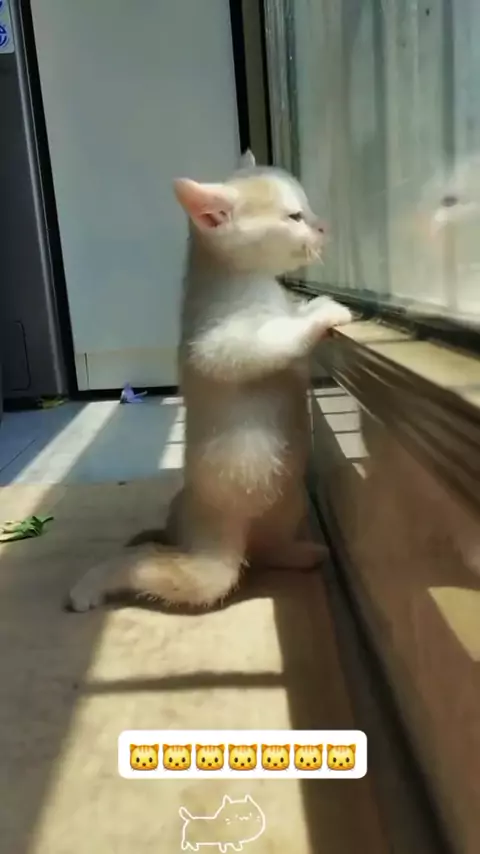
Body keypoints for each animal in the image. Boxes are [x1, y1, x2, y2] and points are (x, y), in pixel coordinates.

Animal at [67, 149, 352, 612]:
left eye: (308, 210)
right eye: (295, 216)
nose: (323, 226)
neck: (246, 280)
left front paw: (304, 306)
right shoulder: (217, 343)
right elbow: (270, 340)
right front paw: (321, 312)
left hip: (285, 503)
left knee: (267, 549)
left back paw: (298, 553)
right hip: (213, 558)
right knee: (168, 568)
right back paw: (93, 583)